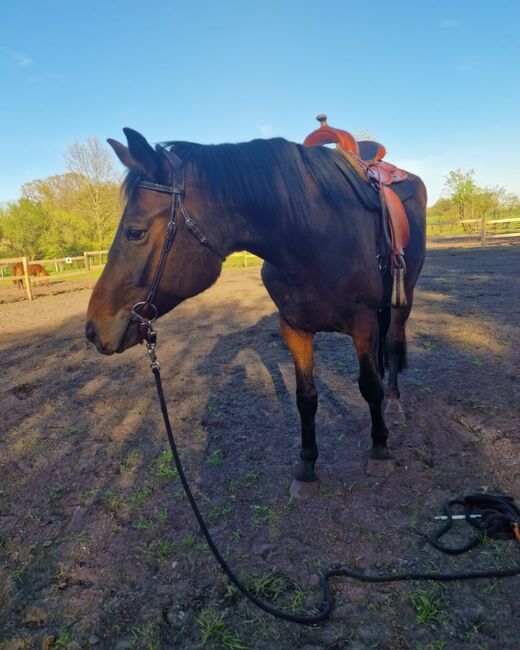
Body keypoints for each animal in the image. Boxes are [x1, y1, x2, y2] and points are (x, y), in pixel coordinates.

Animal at [86, 126, 426, 492]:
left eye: (135, 232)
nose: (93, 329)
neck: (316, 236)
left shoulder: (363, 322)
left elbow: (369, 386)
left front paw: (379, 449)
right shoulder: (294, 327)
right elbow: (305, 398)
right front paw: (307, 467)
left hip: (402, 299)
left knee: (391, 346)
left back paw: (394, 404)